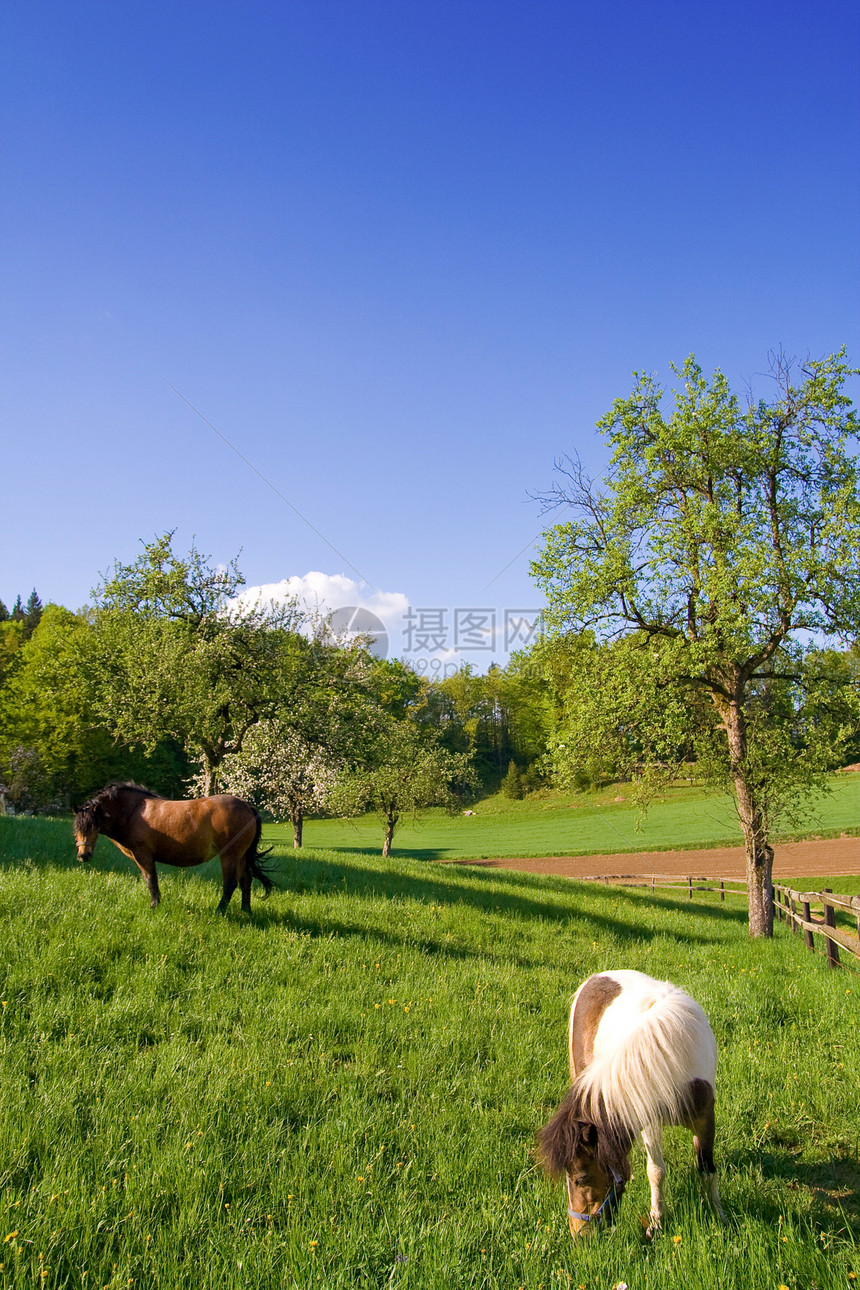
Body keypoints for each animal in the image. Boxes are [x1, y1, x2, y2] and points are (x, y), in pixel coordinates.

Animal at [75, 779, 275, 913]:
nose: (83, 855)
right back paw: (246, 911)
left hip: (229, 855)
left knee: (230, 883)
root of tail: (247, 806)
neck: (133, 812)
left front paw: (154, 906)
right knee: (245, 881)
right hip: (241, 856)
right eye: (77, 828)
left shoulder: (143, 855)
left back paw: (220, 911)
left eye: (93, 825)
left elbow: (151, 880)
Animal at [538, 970, 727, 1238]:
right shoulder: (648, 1120)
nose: (578, 1234)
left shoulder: (705, 1117)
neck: (671, 1064)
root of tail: (597, 976)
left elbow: (707, 1169)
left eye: (581, 1179)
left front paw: (719, 1215)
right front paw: (657, 1223)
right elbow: (656, 1171)